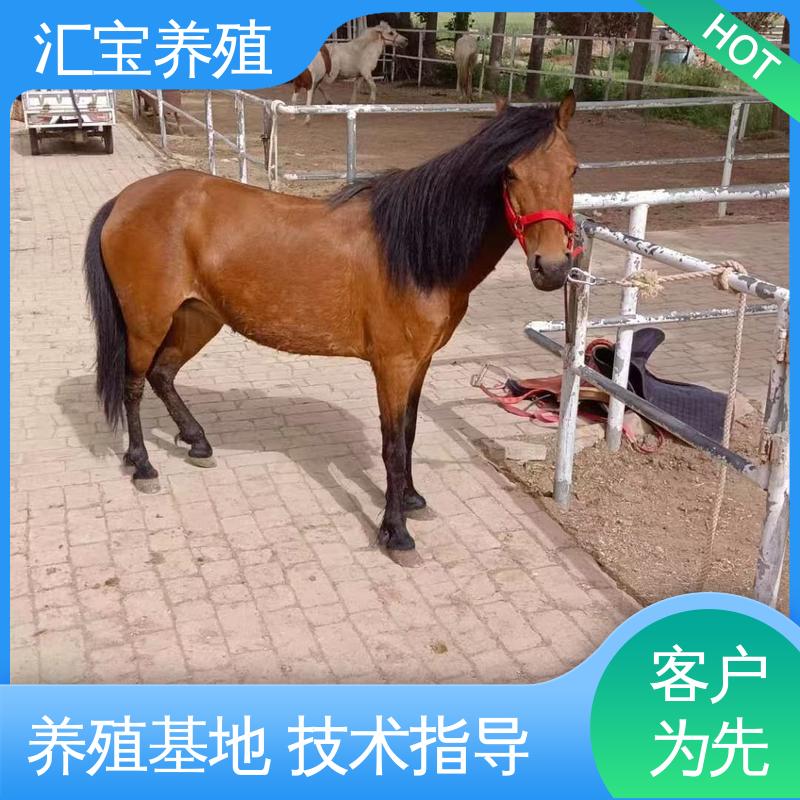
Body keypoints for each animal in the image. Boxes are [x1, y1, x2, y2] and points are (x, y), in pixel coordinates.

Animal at [83, 92, 578, 554]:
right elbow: (392, 444)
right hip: (147, 322)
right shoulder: (393, 366)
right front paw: (395, 531)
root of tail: (124, 200)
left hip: (197, 317)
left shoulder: (418, 364)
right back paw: (142, 465)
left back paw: (197, 442)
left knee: (163, 374)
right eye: (509, 173)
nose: (552, 268)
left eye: (573, 170)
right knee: (134, 384)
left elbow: (410, 432)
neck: (413, 250)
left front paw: (411, 499)